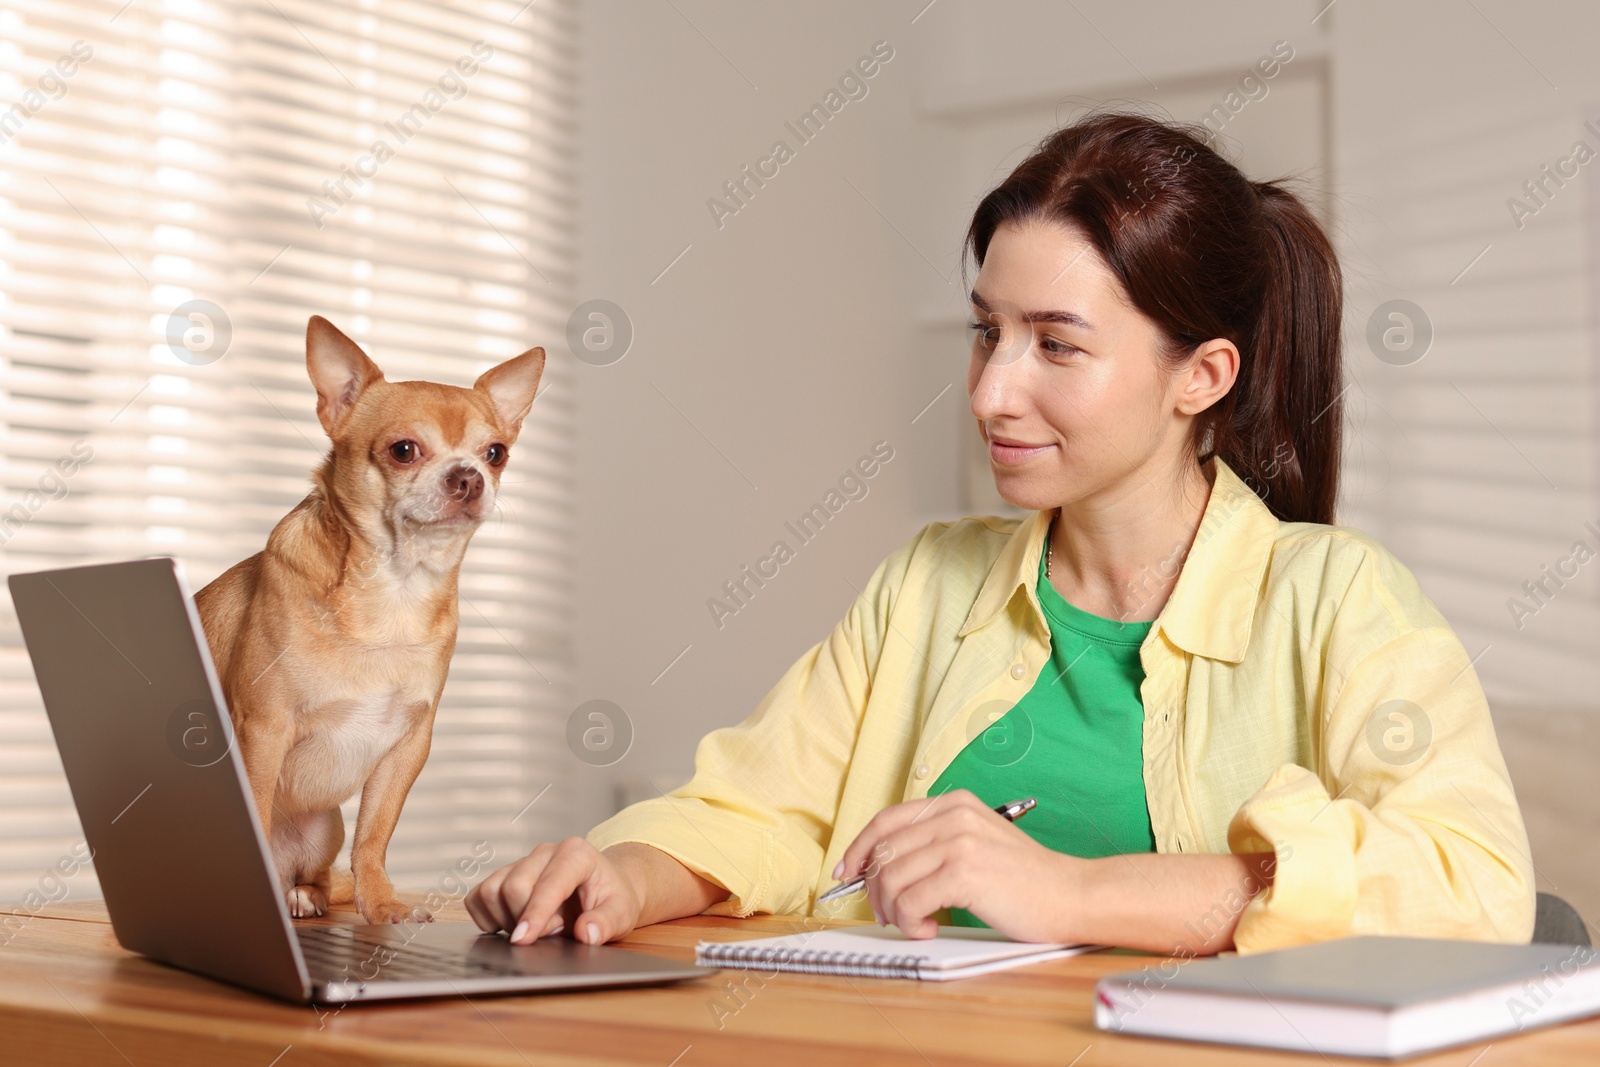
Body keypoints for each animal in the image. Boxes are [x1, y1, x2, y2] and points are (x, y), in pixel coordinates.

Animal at [192, 316, 544, 927]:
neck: (395, 589)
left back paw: (303, 895)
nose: (469, 475)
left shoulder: (407, 746)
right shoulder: (262, 729)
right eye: (404, 450)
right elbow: (254, 808)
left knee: (320, 872)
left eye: (496, 452)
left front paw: (381, 905)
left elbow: (374, 835)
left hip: (322, 829)